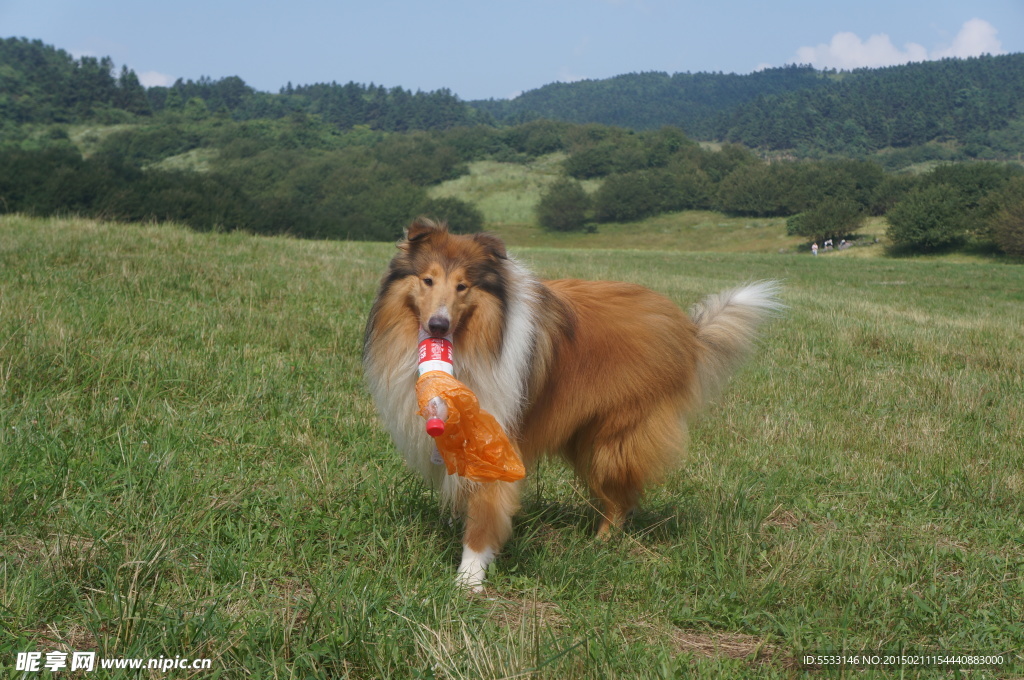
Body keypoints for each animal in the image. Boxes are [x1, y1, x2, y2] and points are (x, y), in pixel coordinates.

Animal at [364, 218, 778, 589]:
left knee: (620, 499)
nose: (438, 326)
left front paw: (469, 579)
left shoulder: (498, 439)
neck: (477, 338)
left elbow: (485, 512)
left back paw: (600, 543)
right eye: (427, 280)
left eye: (463, 286)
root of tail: (687, 330)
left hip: (611, 440)